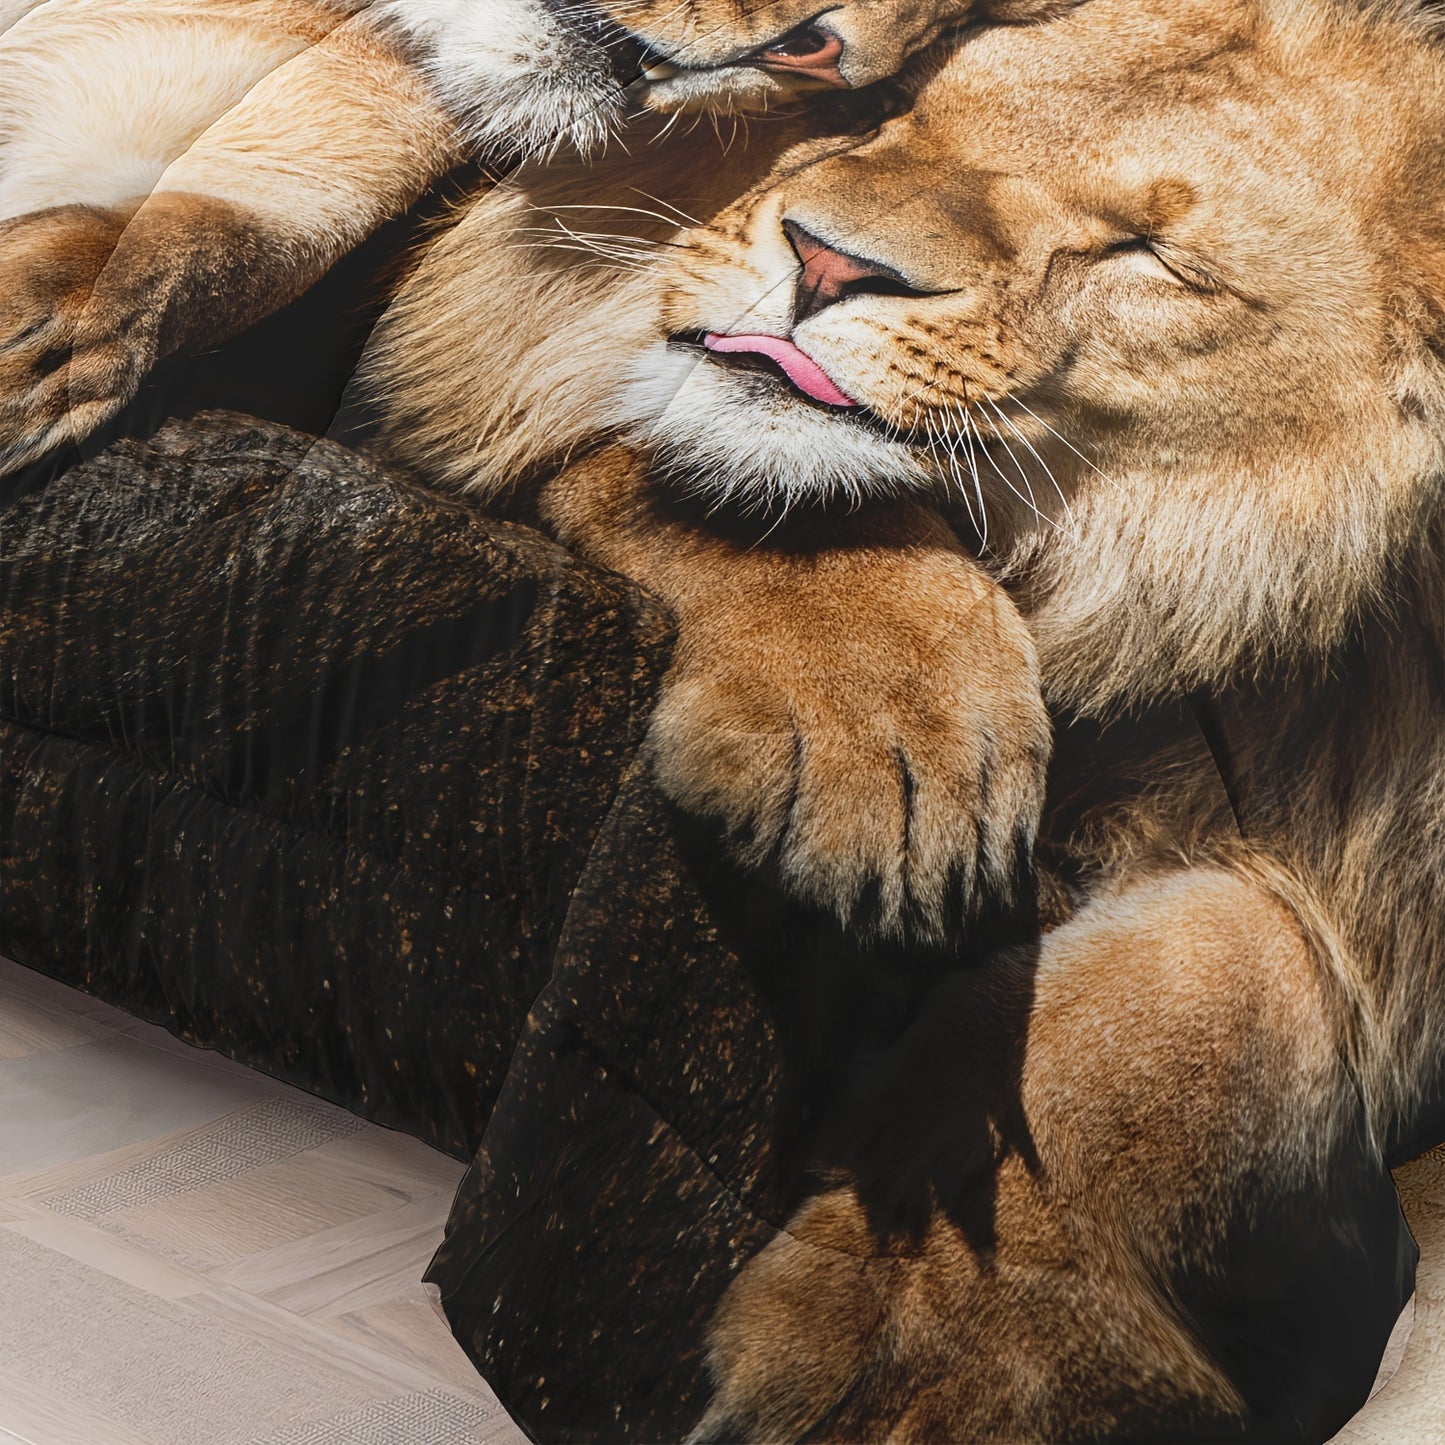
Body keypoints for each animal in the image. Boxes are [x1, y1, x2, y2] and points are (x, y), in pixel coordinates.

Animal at [358, 0, 1445, 1434]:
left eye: (1145, 252)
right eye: (896, 113)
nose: (826, 266)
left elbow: (1235, 975)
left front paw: (934, 1341)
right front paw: (889, 735)